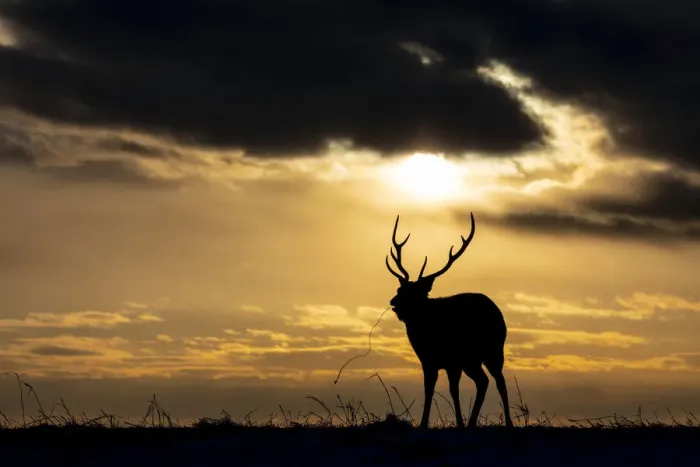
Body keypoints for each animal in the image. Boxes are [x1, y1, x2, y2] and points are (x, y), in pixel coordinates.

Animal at [385, 213, 514, 429]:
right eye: (399, 289)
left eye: (415, 294)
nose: (393, 302)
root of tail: (496, 310)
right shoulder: (428, 361)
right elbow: (429, 390)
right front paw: (425, 424)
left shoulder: (452, 360)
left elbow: (453, 390)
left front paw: (458, 424)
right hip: (472, 360)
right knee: (483, 381)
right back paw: (472, 423)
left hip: (493, 350)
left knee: (499, 382)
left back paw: (509, 424)